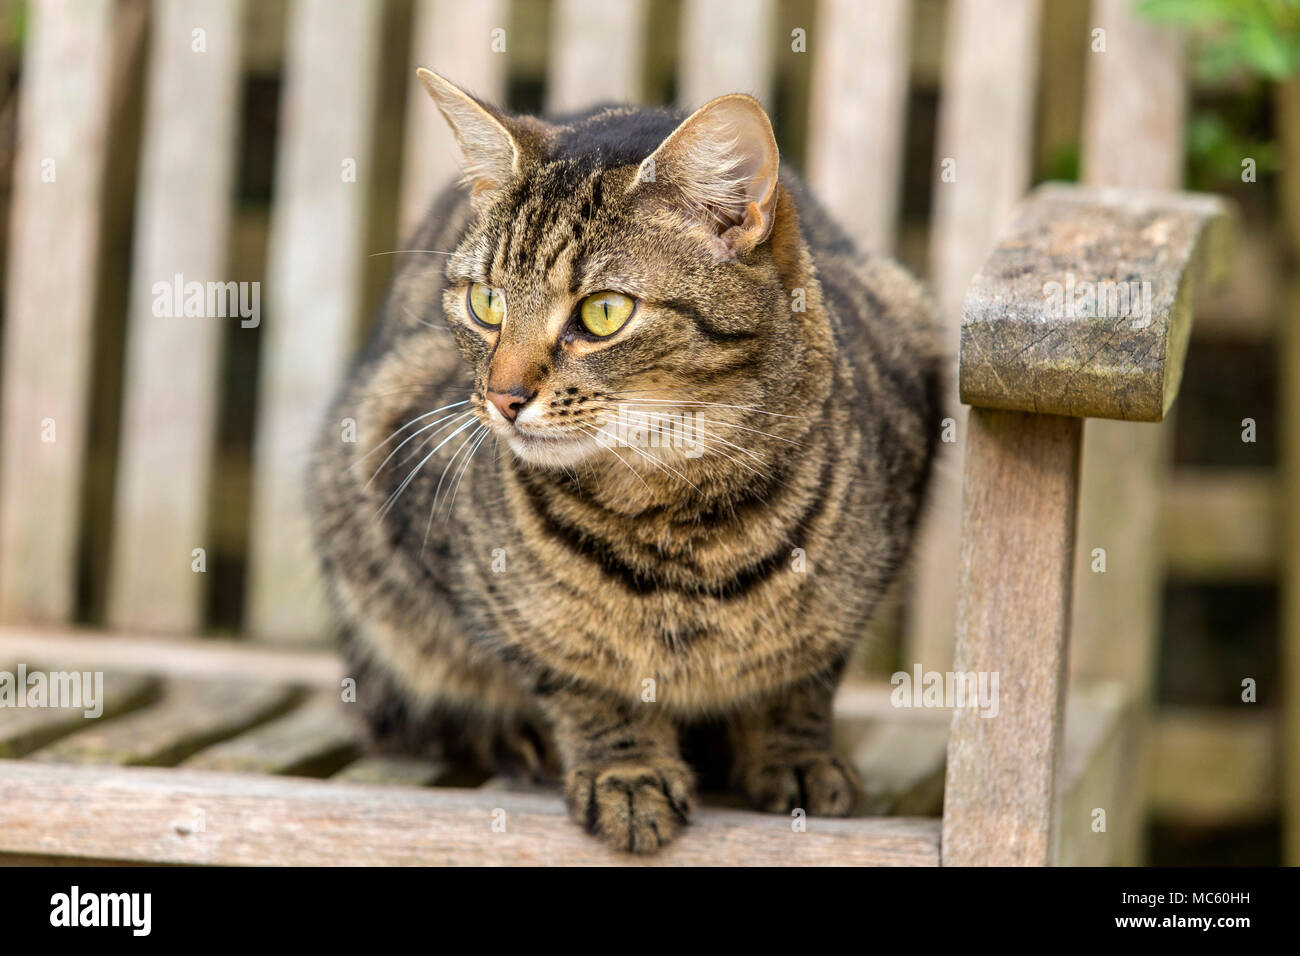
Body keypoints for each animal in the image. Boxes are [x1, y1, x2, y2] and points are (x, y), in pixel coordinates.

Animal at [309, 70, 941, 858]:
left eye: (603, 313)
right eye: (486, 303)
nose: (502, 397)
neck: (679, 522)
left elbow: (802, 682)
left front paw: (795, 756)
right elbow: (583, 680)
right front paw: (627, 772)